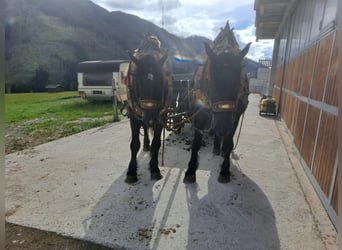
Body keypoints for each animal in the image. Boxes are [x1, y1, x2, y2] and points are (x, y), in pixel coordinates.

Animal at [125, 35, 170, 184]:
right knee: (144, 128)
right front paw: (131, 171)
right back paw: (145, 144)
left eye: (161, 79)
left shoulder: (161, 117)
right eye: (138, 80)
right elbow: (134, 144)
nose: (150, 116)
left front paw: (155, 168)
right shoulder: (134, 117)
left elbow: (156, 144)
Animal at [184, 23, 251, 184]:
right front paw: (190, 170)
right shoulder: (199, 112)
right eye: (211, 81)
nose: (223, 126)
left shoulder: (235, 115)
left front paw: (225, 170)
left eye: (239, 83)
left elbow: (228, 143)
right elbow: (196, 143)